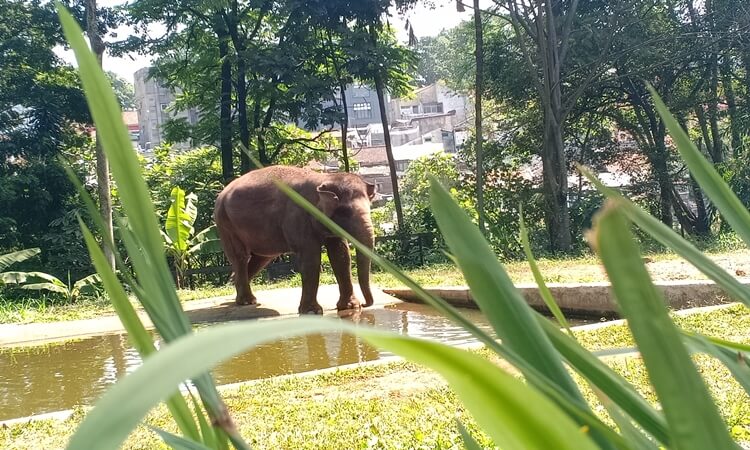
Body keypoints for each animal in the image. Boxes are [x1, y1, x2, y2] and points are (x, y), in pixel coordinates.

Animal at [213, 163, 378, 314]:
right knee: (240, 257)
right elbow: (310, 257)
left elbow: (341, 256)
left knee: (262, 258)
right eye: (345, 211)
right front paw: (312, 311)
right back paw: (246, 301)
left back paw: (236, 289)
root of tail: (221, 194)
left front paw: (350, 307)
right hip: (225, 223)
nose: (365, 304)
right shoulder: (298, 215)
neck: (324, 178)